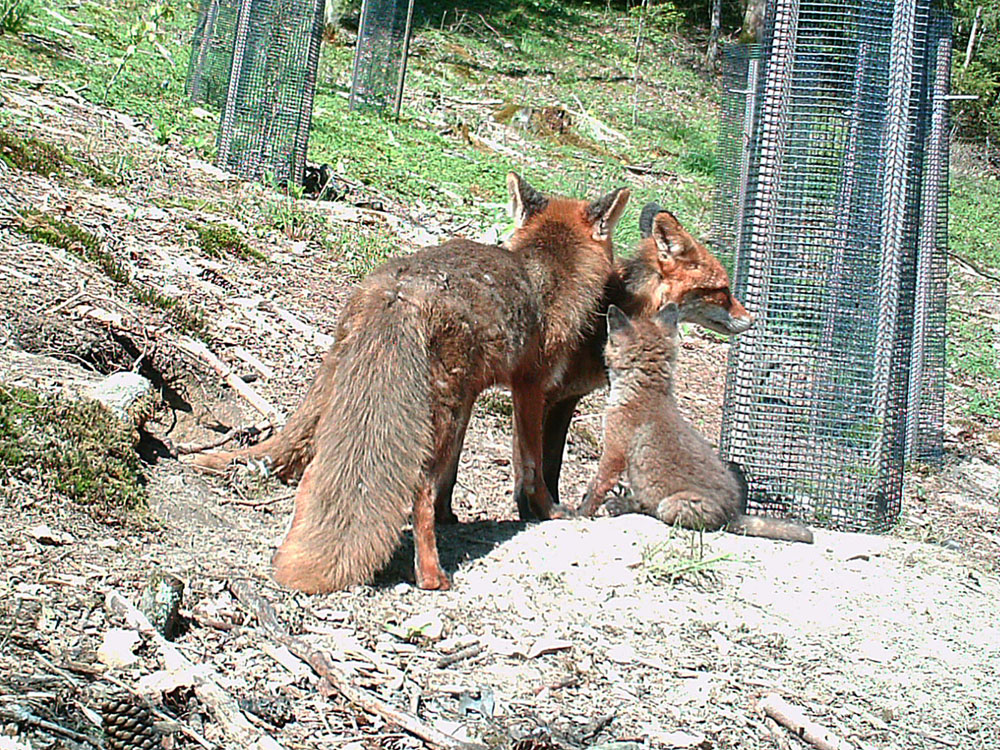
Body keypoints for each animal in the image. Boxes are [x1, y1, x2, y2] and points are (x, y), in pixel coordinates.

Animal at [199, 175, 628, 592]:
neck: (548, 269)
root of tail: (398, 290)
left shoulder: (471, 391)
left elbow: (452, 474)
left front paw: (448, 514)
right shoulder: (530, 385)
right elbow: (531, 467)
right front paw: (550, 511)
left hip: (380, 394)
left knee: (307, 463)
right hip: (436, 416)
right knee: (417, 492)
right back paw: (432, 577)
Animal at [580, 302, 812, 544]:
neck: (644, 392)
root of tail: (733, 515)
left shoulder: (615, 450)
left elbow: (597, 487)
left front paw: (579, 513)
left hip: (672, 504)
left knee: (658, 512)